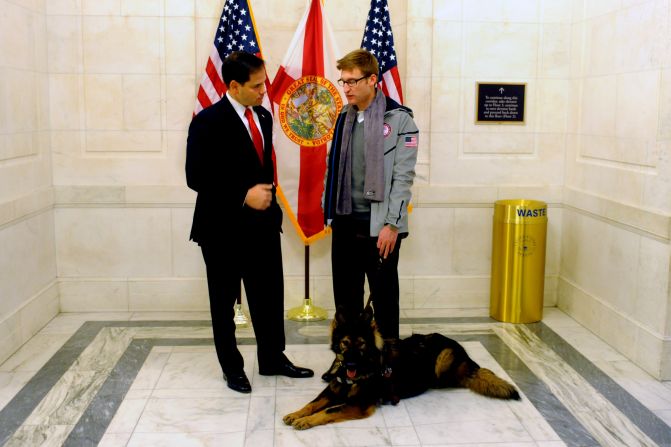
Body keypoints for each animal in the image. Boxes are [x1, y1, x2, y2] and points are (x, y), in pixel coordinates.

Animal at [282, 304, 520, 430]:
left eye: (361, 344)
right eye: (345, 344)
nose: (350, 364)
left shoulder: (359, 404)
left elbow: (329, 410)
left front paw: (306, 421)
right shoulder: (332, 391)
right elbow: (313, 403)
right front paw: (297, 414)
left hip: (443, 362)